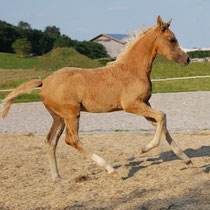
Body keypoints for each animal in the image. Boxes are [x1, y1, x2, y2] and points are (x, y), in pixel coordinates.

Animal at [0, 16, 191, 180]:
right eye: (172, 39)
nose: (187, 59)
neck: (133, 69)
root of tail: (44, 82)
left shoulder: (145, 103)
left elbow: (162, 125)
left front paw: (186, 158)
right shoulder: (132, 105)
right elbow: (162, 116)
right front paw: (145, 148)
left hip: (58, 118)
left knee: (50, 141)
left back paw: (58, 178)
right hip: (71, 114)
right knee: (71, 140)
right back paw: (111, 169)